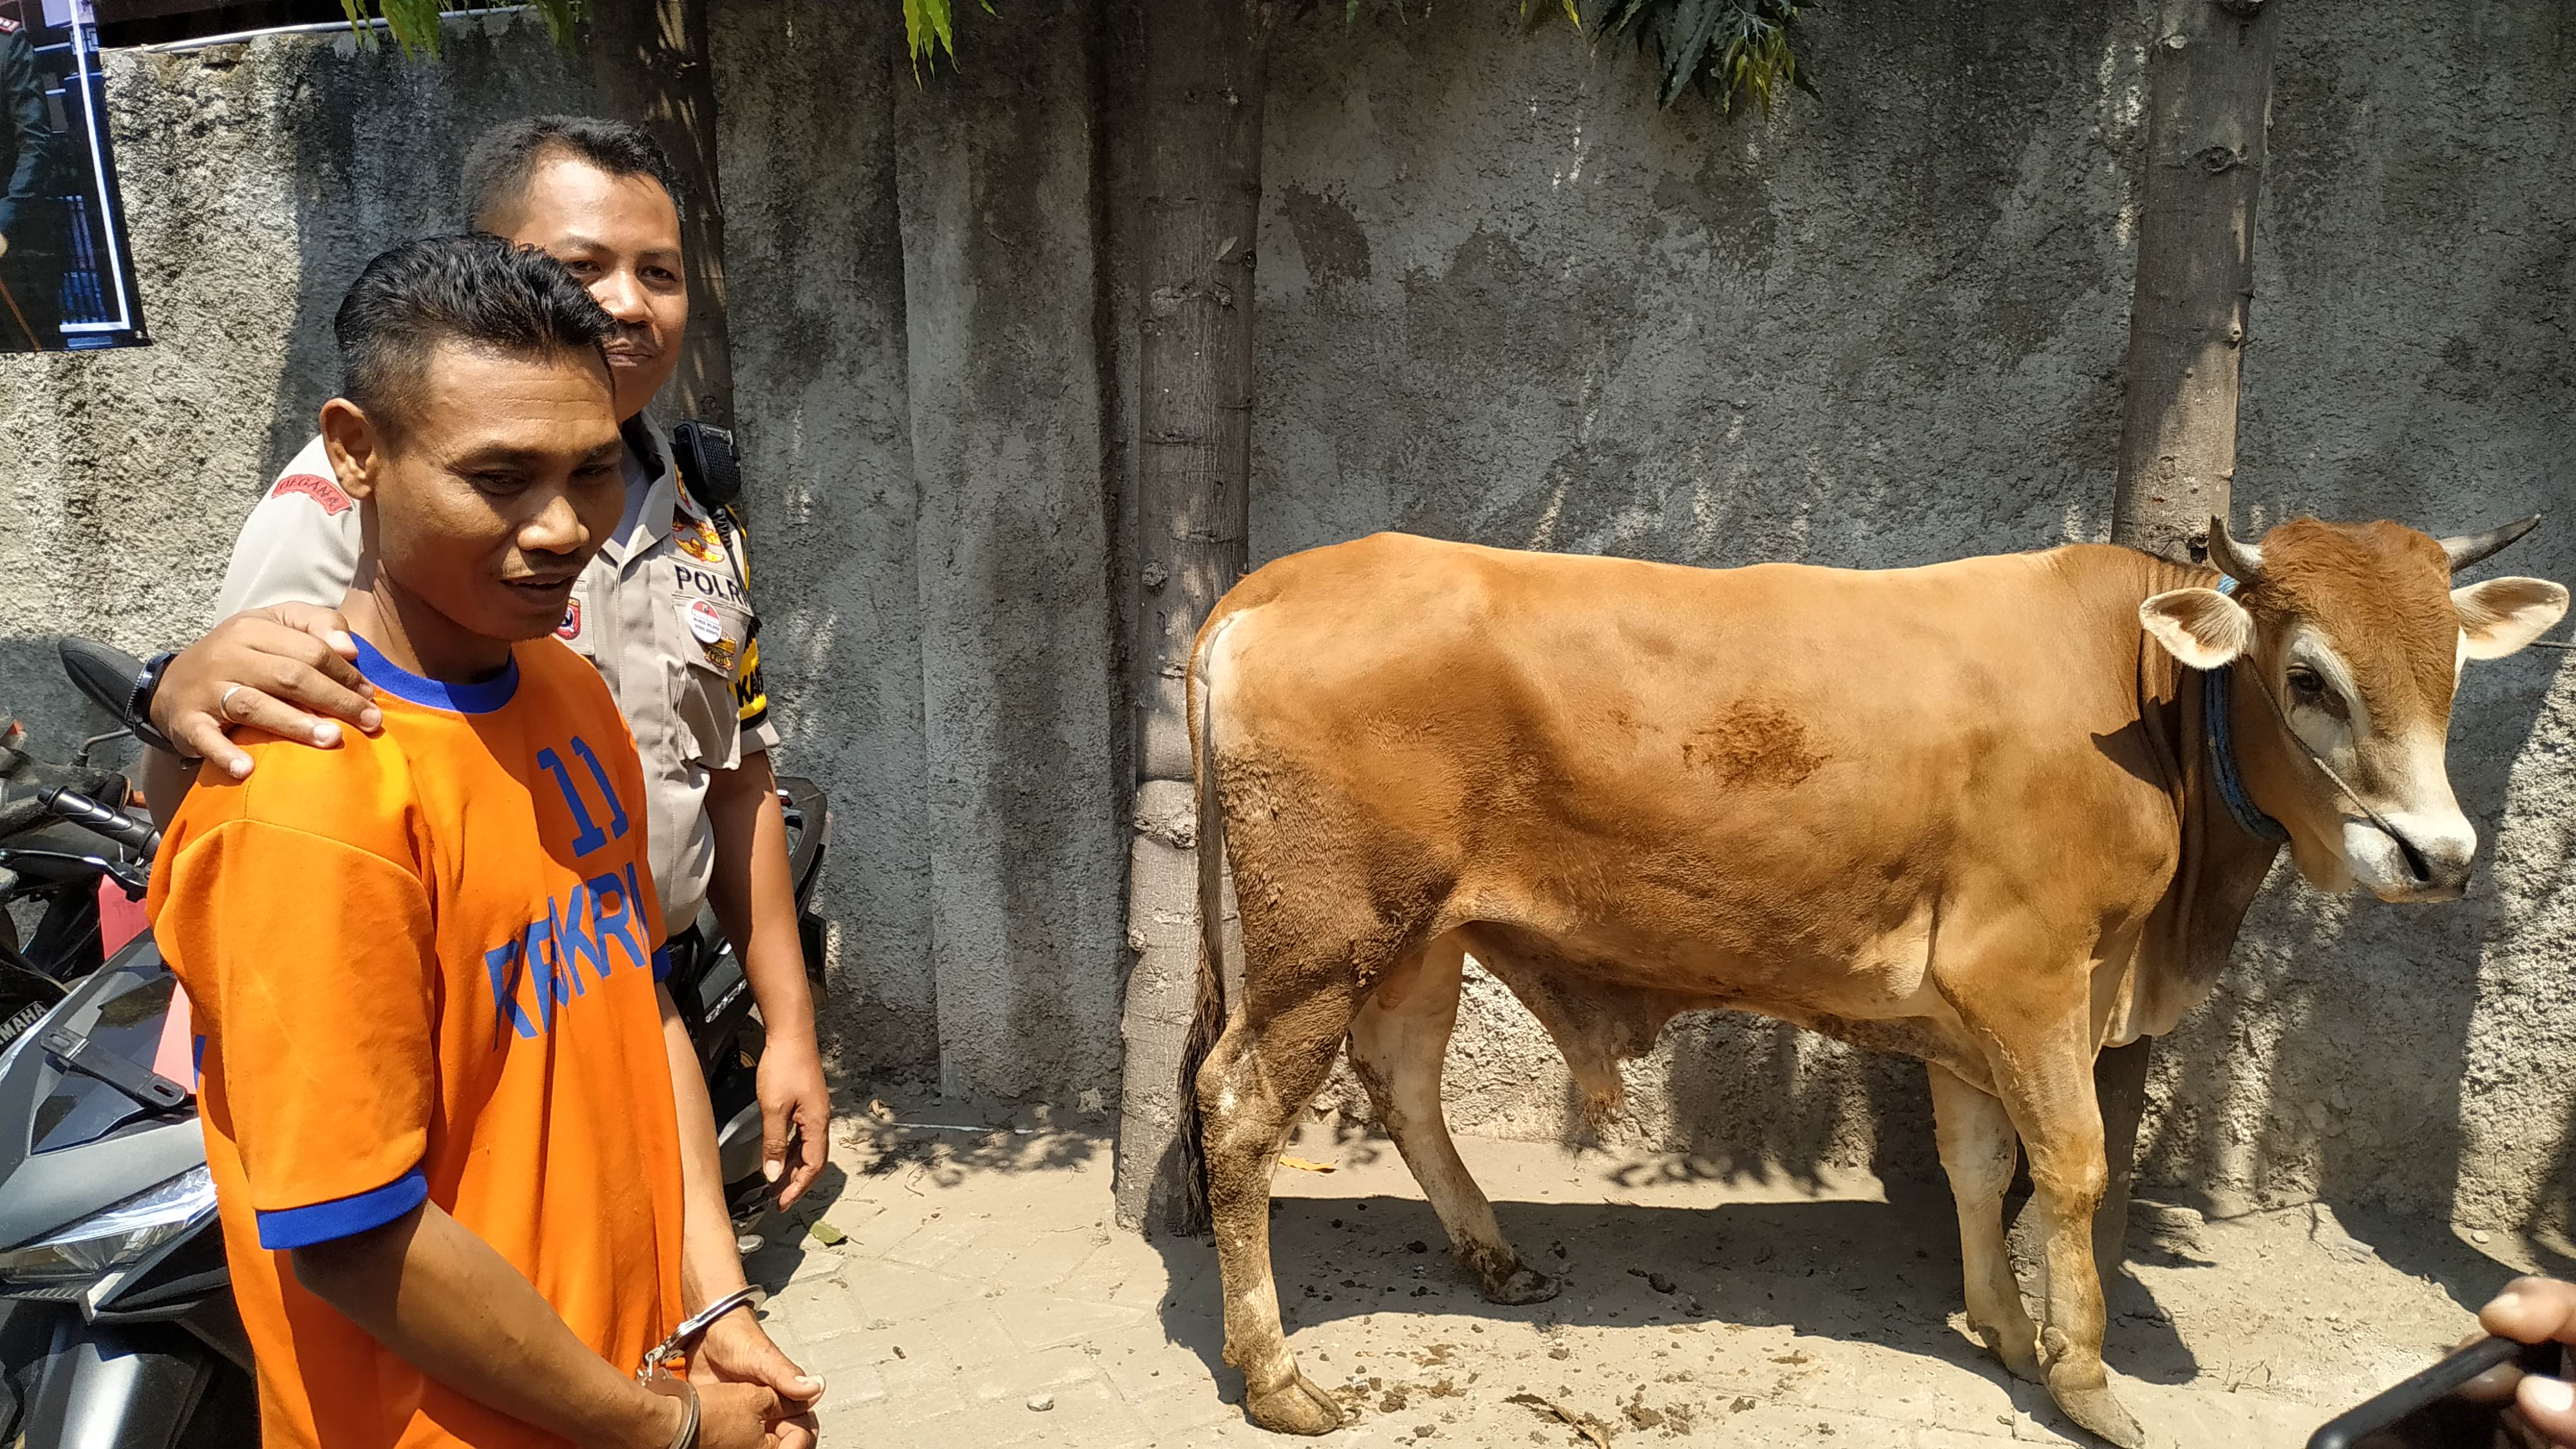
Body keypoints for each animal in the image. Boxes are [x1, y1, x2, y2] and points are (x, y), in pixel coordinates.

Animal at [1180, 515, 2566, 1433]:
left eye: (2448, 669)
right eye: (2306, 676)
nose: (2439, 857)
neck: (2143, 703)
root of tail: (1286, 576)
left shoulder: (1970, 1010)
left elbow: (1978, 1165)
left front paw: (2000, 1327)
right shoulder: (2026, 975)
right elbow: (2068, 1169)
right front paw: (2081, 1376)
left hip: (1418, 935)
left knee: (1404, 1082)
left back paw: (1492, 1259)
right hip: (1325, 935)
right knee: (1239, 1109)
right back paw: (1278, 1377)